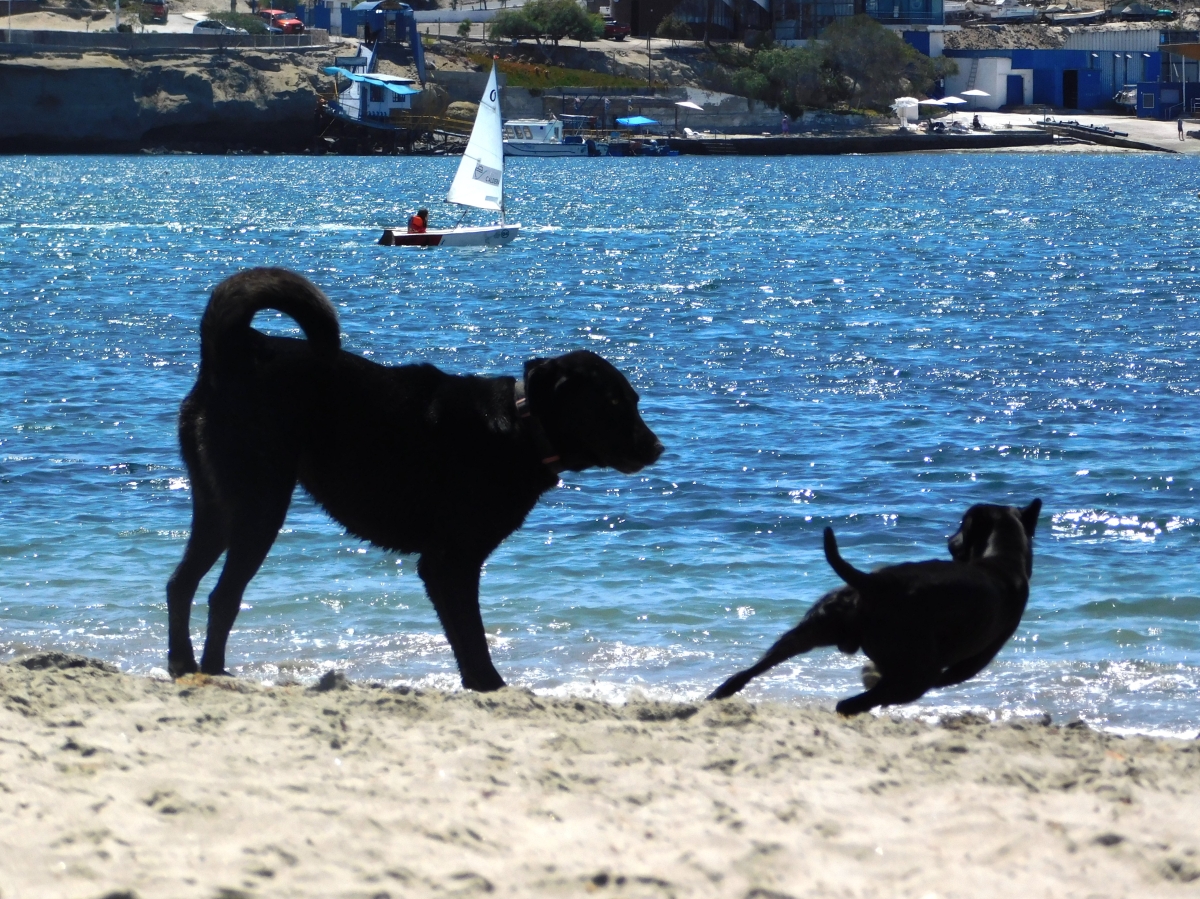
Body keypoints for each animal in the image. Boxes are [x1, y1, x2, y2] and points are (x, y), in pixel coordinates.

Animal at [166, 266, 667, 686]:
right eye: (613, 402)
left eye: (634, 400)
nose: (657, 447)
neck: (522, 427)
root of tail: (230, 352)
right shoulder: (451, 563)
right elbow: (472, 636)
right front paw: (491, 686)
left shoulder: (445, 566)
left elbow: (463, 641)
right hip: (261, 506)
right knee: (222, 596)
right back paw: (213, 671)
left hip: (215, 507)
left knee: (180, 584)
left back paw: (182, 665)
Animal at [710, 496, 1041, 715]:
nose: (950, 538)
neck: (1003, 556)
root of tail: (876, 583)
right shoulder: (967, 666)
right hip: (918, 674)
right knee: (855, 702)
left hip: (811, 630)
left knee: (752, 669)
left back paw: (720, 693)